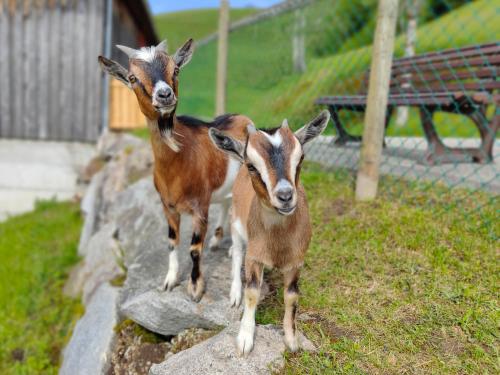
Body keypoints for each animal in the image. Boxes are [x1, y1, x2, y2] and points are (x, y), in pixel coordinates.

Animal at [98, 39, 250, 302]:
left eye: (176, 69)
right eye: (133, 77)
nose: (165, 94)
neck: (177, 166)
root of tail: (243, 118)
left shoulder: (200, 208)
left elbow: (194, 248)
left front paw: (195, 288)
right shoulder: (167, 207)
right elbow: (172, 242)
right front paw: (169, 281)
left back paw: (231, 247)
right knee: (225, 204)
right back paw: (218, 239)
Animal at [209, 111, 330, 356]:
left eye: (301, 158)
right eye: (252, 166)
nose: (285, 196)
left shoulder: (296, 261)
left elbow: (292, 296)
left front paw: (291, 340)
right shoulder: (254, 256)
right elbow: (252, 292)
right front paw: (245, 340)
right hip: (236, 225)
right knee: (237, 253)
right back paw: (234, 293)